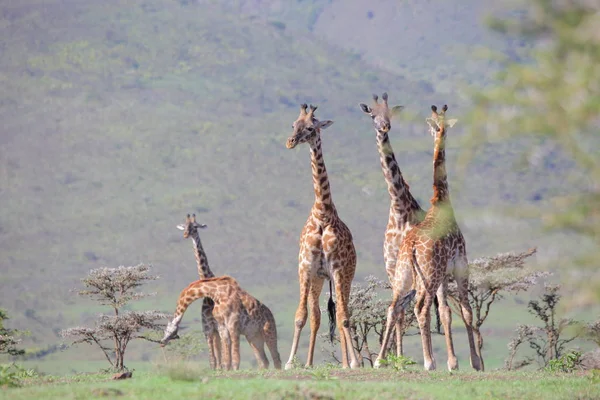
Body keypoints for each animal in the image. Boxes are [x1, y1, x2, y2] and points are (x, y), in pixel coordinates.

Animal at [176, 214, 223, 370]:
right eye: (184, 226)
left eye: (195, 226)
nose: (185, 235)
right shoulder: (207, 327)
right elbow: (212, 356)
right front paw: (215, 369)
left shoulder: (216, 325)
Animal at [284, 102, 358, 368]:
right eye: (293, 124)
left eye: (310, 127)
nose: (290, 142)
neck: (323, 214)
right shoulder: (306, 267)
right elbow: (302, 316)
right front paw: (290, 362)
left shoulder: (337, 268)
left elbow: (343, 317)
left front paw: (353, 363)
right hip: (318, 279)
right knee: (317, 315)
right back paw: (308, 363)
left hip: (345, 277)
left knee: (343, 312)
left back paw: (349, 362)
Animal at [358, 92, 428, 354]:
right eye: (372, 114)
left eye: (390, 114)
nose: (384, 126)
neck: (399, 211)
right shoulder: (391, 267)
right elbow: (397, 310)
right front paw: (394, 356)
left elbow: (401, 309)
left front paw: (397, 356)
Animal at [376, 105, 482, 372]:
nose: (440, 133)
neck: (441, 201)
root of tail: (412, 246)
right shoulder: (460, 265)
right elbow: (465, 310)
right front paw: (474, 362)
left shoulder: (443, 276)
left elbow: (445, 312)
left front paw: (453, 362)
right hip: (429, 275)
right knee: (421, 309)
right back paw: (428, 362)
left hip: (403, 274)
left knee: (394, 307)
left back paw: (380, 360)